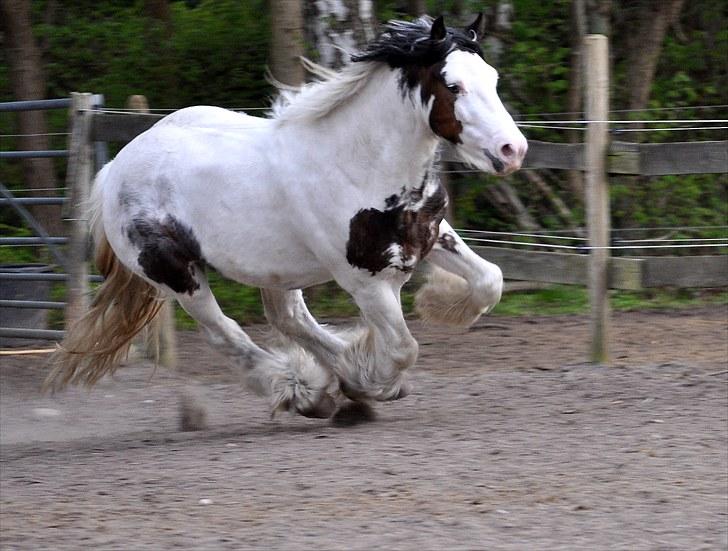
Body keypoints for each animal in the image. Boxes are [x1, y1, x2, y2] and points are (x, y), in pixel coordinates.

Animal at [47, 16, 524, 422]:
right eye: (452, 85)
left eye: (493, 79)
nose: (512, 150)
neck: (357, 164)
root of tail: (115, 170)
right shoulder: (364, 280)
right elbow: (404, 347)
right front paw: (371, 383)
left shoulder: (430, 235)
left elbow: (491, 280)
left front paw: (434, 304)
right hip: (176, 274)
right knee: (226, 332)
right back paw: (305, 392)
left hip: (274, 267)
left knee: (288, 318)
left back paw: (332, 379)